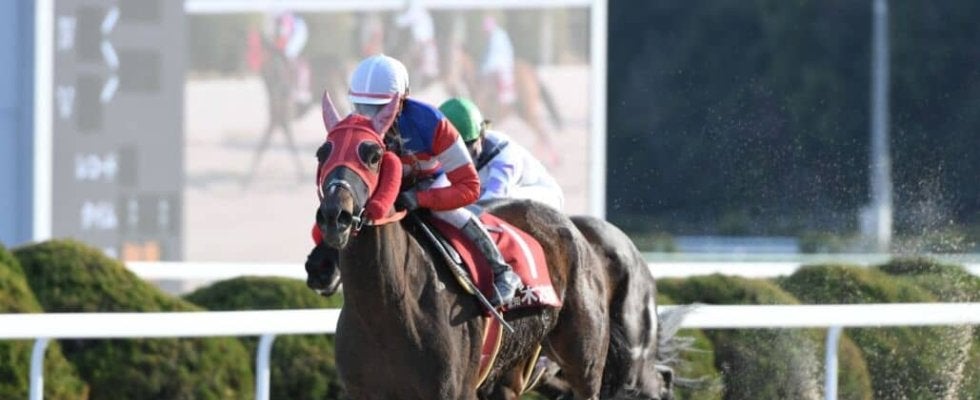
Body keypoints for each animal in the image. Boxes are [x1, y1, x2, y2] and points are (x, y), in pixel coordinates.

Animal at [309, 94, 610, 399]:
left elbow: (468, 184)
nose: (335, 217)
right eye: (323, 153)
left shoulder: (455, 390)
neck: (386, 310)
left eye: (374, 155)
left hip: (584, 364)